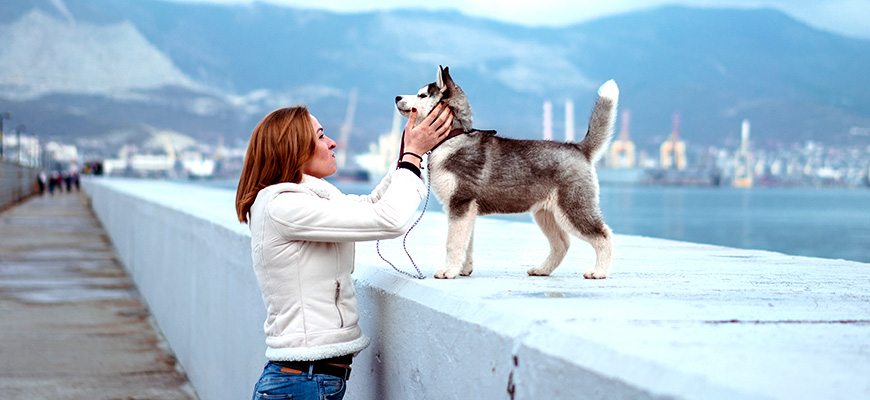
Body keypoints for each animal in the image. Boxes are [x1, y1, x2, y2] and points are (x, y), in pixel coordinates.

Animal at [396, 65, 620, 280]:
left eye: (422, 95)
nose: (397, 97)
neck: (454, 137)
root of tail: (578, 148)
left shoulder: (460, 203)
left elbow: (453, 243)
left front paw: (447, 271)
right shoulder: (466, 210)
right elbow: (467, 243)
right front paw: (463, 269)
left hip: (573, 208)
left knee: (604, 235)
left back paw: (599, 272)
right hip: (545, 213)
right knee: (562, 244)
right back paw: (542, 269)